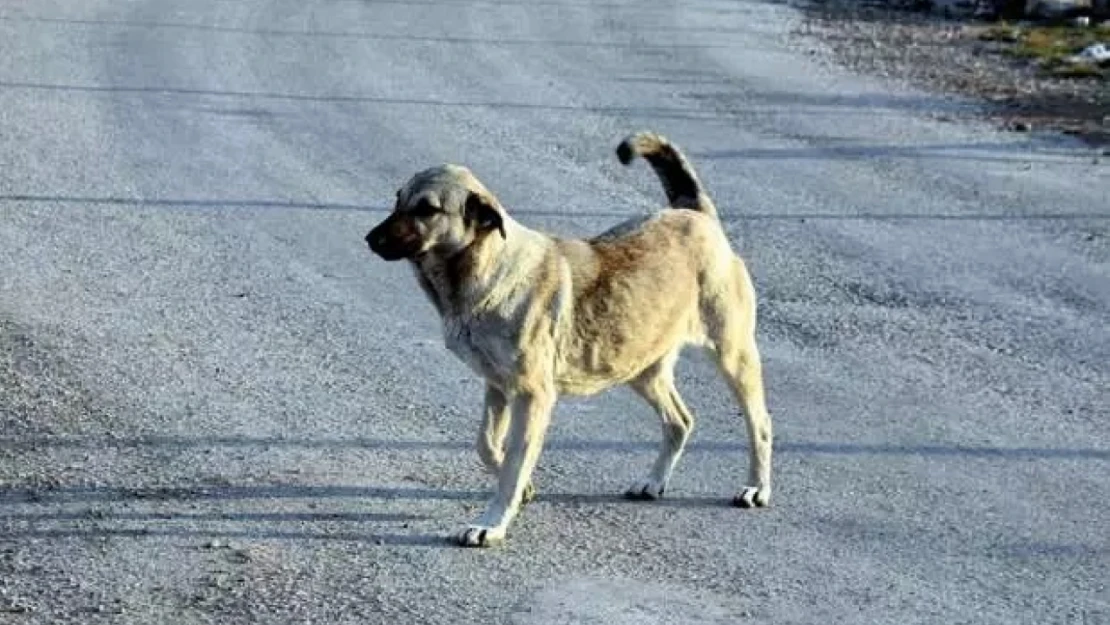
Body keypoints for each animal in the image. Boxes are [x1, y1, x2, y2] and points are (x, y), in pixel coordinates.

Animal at [364, 132, 772, 548]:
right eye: (398, 198)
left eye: (426, 209)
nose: (370, 239)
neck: (488, 267)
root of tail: (697, 215)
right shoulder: (498, 388)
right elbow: (487, 445)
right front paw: (522, 488)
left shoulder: (532, 396)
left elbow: (512, 466)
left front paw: (493, 524)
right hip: (640, 367)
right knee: (680, 421)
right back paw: (655, 481)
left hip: (732, 356)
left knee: (760, 423)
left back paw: (757, 488)